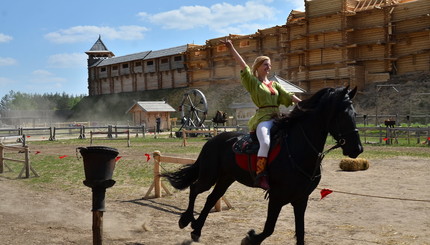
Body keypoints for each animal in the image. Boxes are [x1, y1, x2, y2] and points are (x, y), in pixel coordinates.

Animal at [163, 86, 364, 245]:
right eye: (343, 115)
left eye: (355, 115)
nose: (357, 148)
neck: (298, 150)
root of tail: (212, 140)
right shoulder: (277, 196)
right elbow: (269, 228)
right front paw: (250, 238)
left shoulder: (301, 199)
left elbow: (300, 233)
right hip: (209, 175)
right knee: (195, 189)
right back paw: (186, 220)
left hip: (226, 178)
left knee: (212, 198)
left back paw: (196, 229)